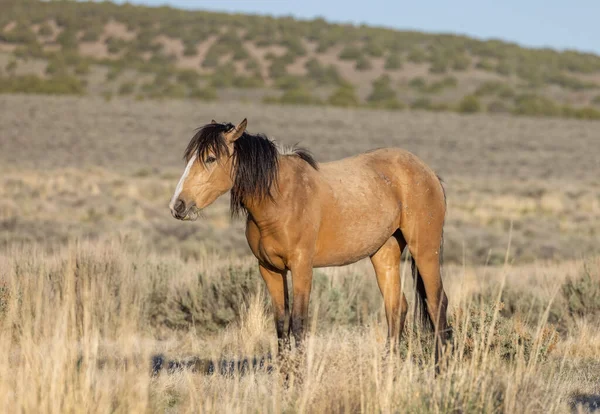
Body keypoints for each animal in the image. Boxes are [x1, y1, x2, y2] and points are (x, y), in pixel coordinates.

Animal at [169, 118, 450, 364]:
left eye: (210, 158)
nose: (177, 206)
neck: (281, 198)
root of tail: (428, 173)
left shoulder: (302, 267)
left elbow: (298, 322)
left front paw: (299, 376)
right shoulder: (269, 270)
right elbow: (281, 324)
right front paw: (284, 376)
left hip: (424, 251)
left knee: (436, 303)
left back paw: (439, 369)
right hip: (384, 253)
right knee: (396, 307)